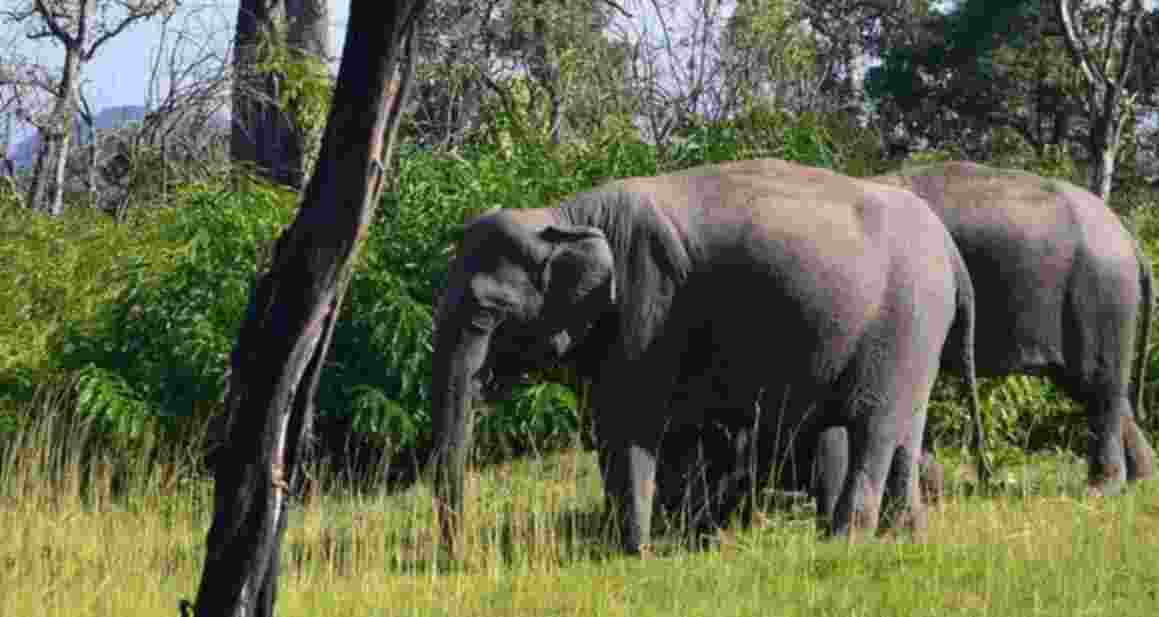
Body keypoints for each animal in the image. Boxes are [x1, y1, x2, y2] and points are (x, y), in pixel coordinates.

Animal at [427, 158, 982, 555]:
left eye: (486, 314)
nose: (458, 559)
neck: (561, 215)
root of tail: (950, 252)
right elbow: (666, 432)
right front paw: (683, 543)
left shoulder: (649, 304)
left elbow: (627, 423)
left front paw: (635, 554)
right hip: (916, 338)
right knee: (906, 431)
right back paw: (903, 537)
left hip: (903, 324)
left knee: (873, 426)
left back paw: (844, 541)